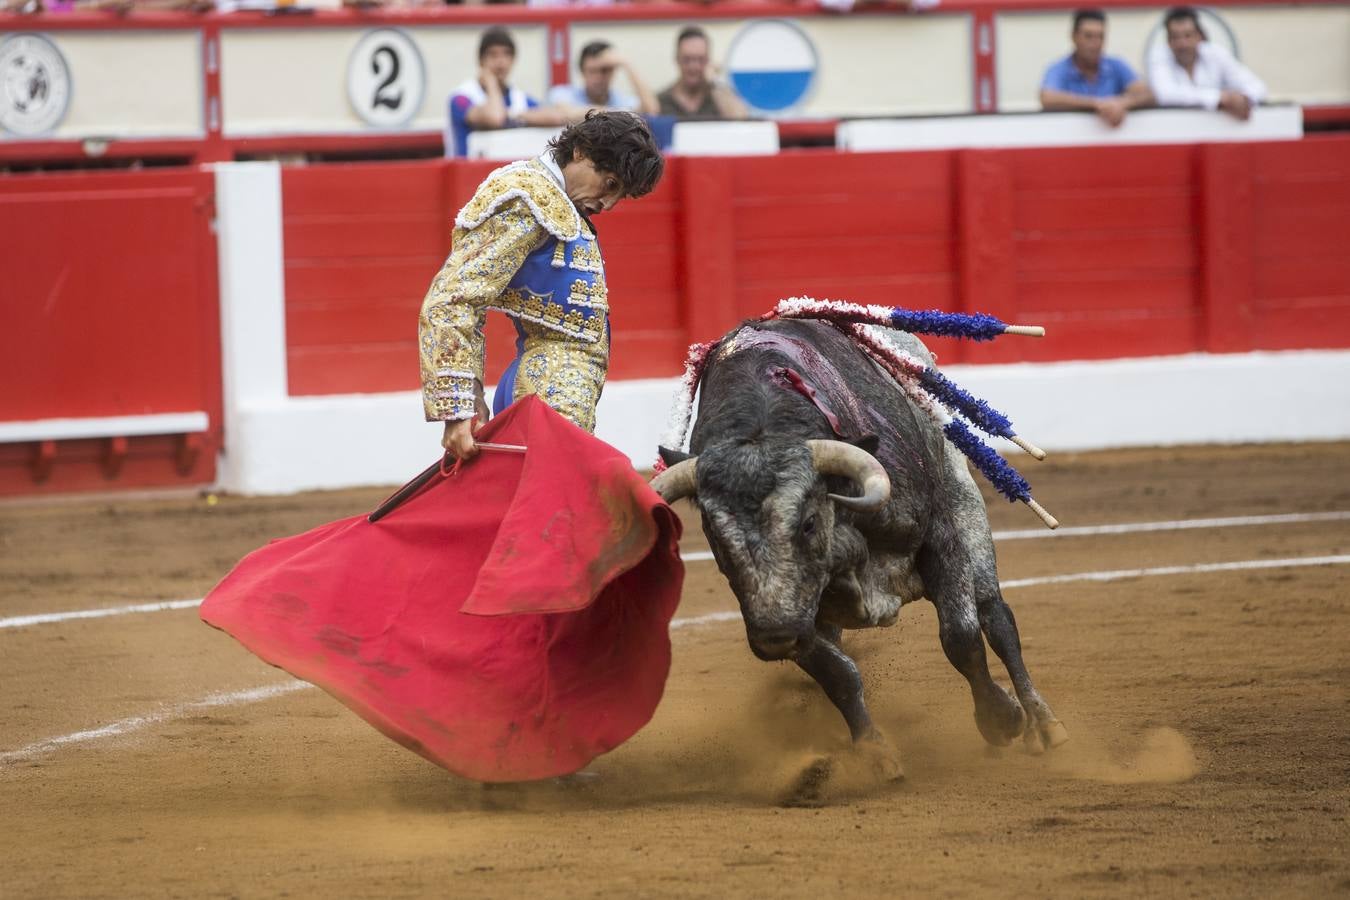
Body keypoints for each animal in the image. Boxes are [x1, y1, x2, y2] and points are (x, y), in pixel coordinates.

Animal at [650, 318, 1063, 788]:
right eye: (715, 535)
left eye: (809, 523)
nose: (774, 638)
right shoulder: (789, 609)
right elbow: (838, 674)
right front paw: (874, 753)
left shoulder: (939, 535)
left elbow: (961, 637)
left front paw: (1000, 717)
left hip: (965, 505)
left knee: (996, 618)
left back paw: (1042, 724)